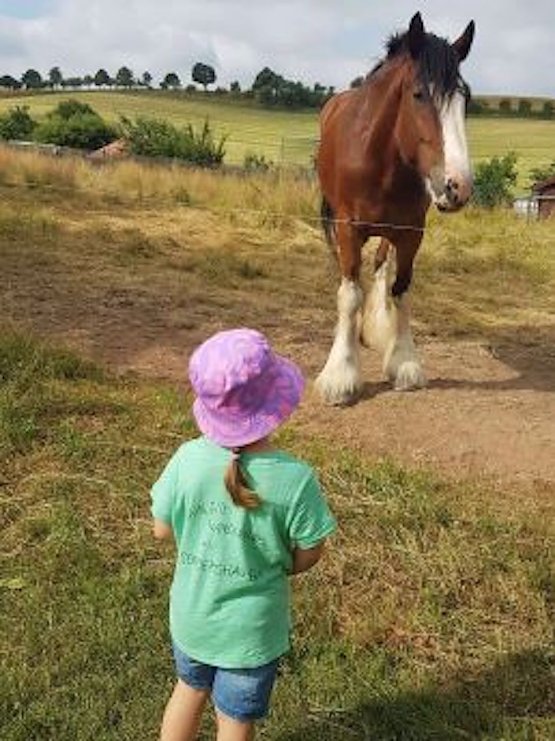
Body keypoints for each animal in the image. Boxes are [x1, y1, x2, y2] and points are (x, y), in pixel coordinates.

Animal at [316, 12, 475, 405]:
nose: (458, 186)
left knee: (381, 265)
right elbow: (350, 294)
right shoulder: (348, 228)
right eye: (419, 94)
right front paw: (340, 375)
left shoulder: (411, 232)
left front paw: (403, 361)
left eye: (465, 99)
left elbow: (400, 290)